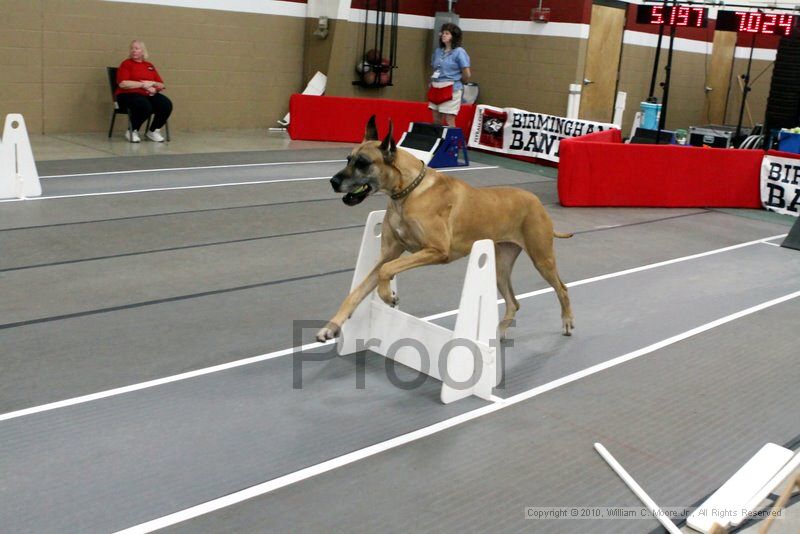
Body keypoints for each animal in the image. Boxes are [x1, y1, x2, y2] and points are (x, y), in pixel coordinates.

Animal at [316, 116, 572, 344]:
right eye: (348, 159)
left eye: (363, 163)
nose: (333, 182)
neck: (407, 191)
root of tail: (536, 201)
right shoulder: (389, 253)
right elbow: (359, 290)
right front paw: (332, 326)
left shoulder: (437, 251)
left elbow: (387, 270)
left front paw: (388, 296)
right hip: (501, 265)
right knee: (513, 302)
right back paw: (498, 333)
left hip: (542, 258)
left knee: (562, 288)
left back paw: (567, 322)